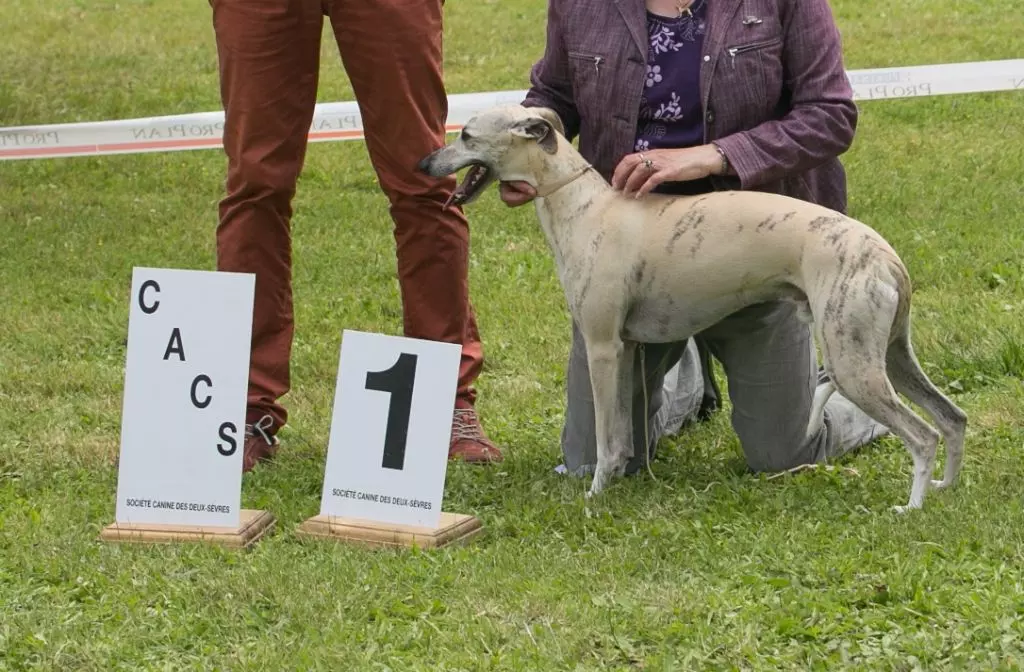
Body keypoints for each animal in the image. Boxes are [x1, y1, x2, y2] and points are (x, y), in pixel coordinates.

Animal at [415, 105, 966, 512]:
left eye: (466, 136)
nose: (423, 166)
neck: (586, 207)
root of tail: (888, 257)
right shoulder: (627, 349)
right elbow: (621, 436)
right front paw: (617, 480)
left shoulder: (602, 347)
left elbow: (605, 438)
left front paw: (595, 494)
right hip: (890, 352)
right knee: (952, 417)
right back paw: (945, 488)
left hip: (854, 361)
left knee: (922, 435)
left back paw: (911, 508)